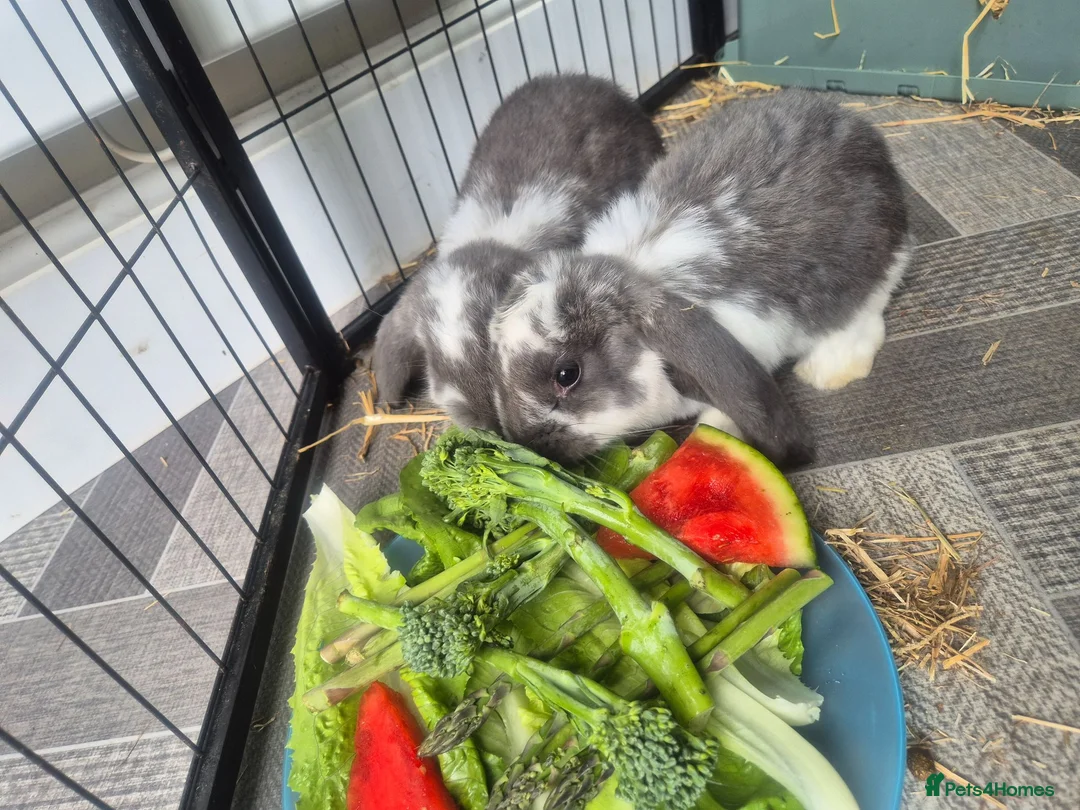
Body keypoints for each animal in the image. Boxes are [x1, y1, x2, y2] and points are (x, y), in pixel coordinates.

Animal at [487, 89, 912, 467]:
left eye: (567, 374)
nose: (533, 442)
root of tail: (860, 128)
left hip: (872, 271)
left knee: (863, 317)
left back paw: (827, 372)